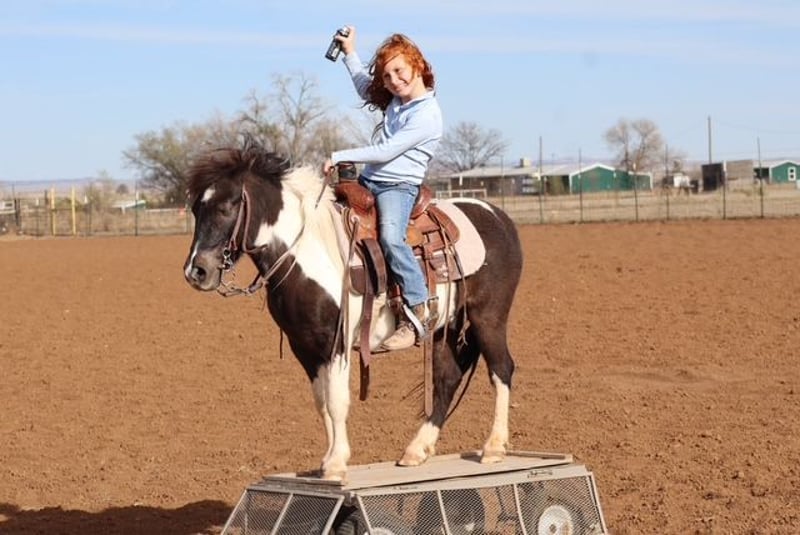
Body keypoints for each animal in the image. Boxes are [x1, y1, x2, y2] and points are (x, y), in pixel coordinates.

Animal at [183, 138, 523, 480]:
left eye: (226, 207)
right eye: (197, 209)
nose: (196, 271)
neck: (307, 252)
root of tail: (499, 217)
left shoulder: (337, 343)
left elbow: (337, 401)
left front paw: (336, 464)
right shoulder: (304, 347)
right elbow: (322, 401)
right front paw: (327, 462)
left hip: (488, 317)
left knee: (501, 369)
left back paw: (493, 447)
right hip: (446, 327)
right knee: (447, 379)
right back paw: (416, 450)